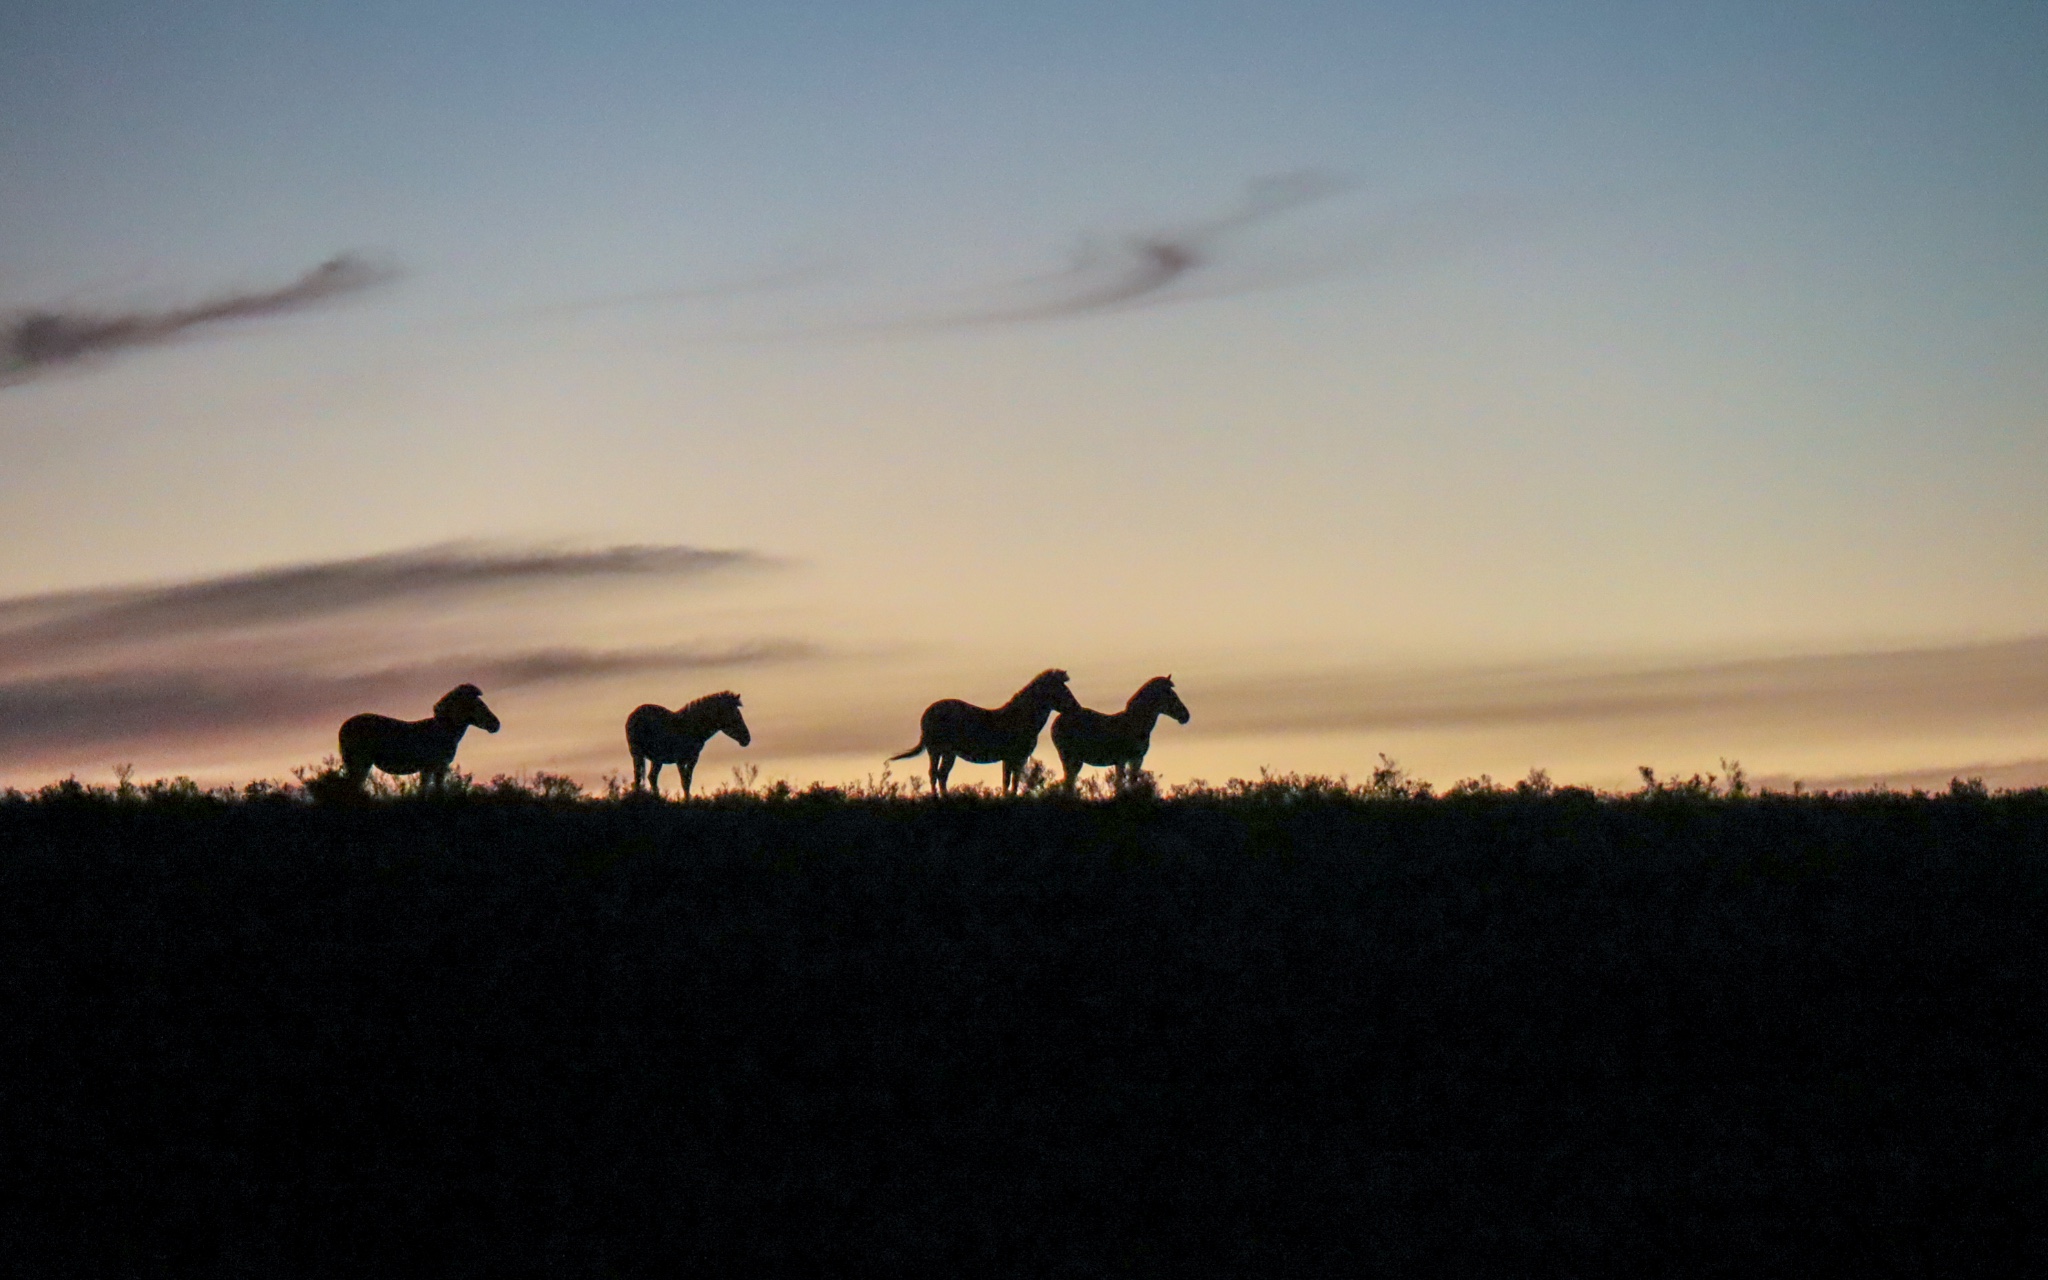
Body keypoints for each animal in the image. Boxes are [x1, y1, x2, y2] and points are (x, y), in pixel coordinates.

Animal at [335, 688, 499, 790]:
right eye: (481, 706)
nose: (497, 724)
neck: (445, 730)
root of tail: (343, 726)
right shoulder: (435, 767)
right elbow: (433, 791)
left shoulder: (432, 768)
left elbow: (429, 790)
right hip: (359, 761)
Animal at [888, 667, 1081, 790]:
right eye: (1063, 690)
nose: (1077, 708)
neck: (1022, 718)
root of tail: (928, 712)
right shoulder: (1014, 756)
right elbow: (1010, 781)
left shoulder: (1015, 758)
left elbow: (1011, 781)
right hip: (942, 750)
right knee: (939, 775)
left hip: (937, 750)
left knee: (936, 775)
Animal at [1048, 679, 1196, 790]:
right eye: (1172, 696)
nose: (1186, 716)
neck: (1136, 724)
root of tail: (1058, 719)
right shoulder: (1125, 759)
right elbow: (1122, 785)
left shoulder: (1133, 759)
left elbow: (1129, 782)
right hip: (1070, 757)